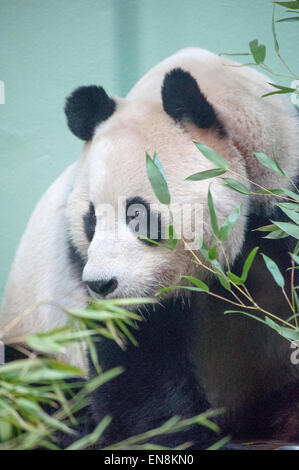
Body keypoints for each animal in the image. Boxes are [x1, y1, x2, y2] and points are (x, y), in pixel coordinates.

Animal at [0, 47, 299, 448]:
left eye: (137, 213)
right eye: (90, 220)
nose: (101, 284)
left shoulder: (284, 201)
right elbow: (136, 358)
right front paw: (177, 435)